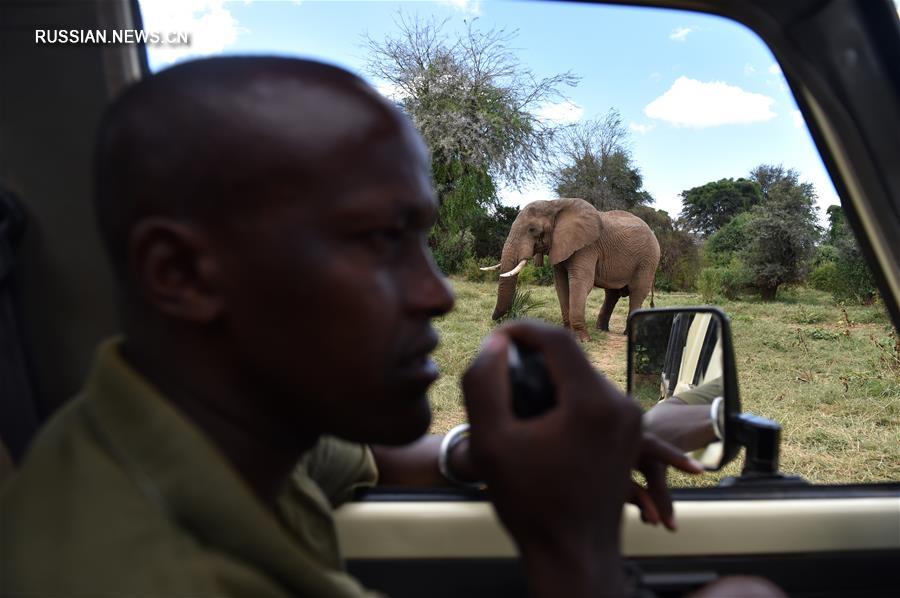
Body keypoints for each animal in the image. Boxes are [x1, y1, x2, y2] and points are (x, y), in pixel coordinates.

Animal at [486, 199, 660, 342]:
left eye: (532, 229)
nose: (498, 321)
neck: (554, 204)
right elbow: (561, 284)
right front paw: (569, 335)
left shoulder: (587, 247)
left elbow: (580, 283)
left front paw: (583, 340)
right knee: (612, 294)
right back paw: (601, 330)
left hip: (648, 259)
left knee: (637, 291)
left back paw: (627, 334)